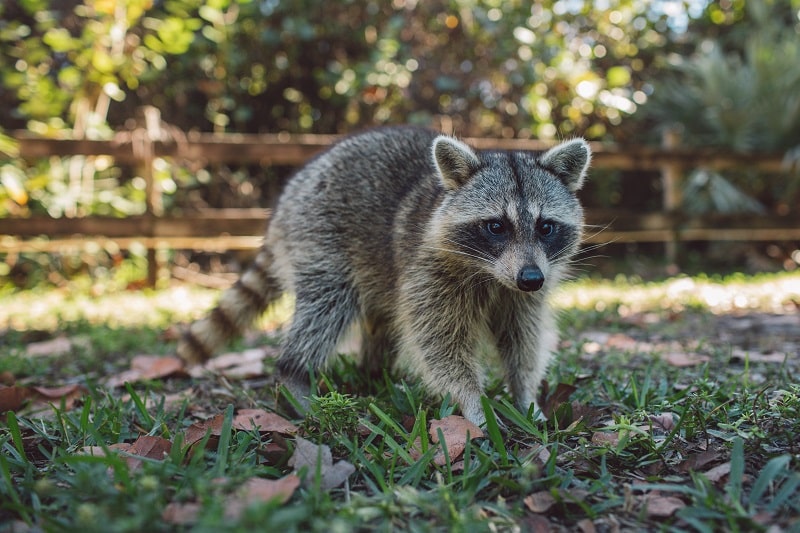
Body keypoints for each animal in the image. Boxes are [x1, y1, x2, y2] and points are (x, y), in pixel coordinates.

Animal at [178, 127, 592, 426]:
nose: (531, 279)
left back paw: (374, 373)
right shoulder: (429, 271)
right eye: (496, 226)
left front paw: (525, 396)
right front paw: (472, 402)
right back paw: (294, 372)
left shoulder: (523, 291)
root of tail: (290, 194)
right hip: (320, 234)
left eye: (546, 227)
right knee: (326, 307)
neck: (491, 274)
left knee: (381, 318)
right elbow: (439, 343)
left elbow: (522, 340)